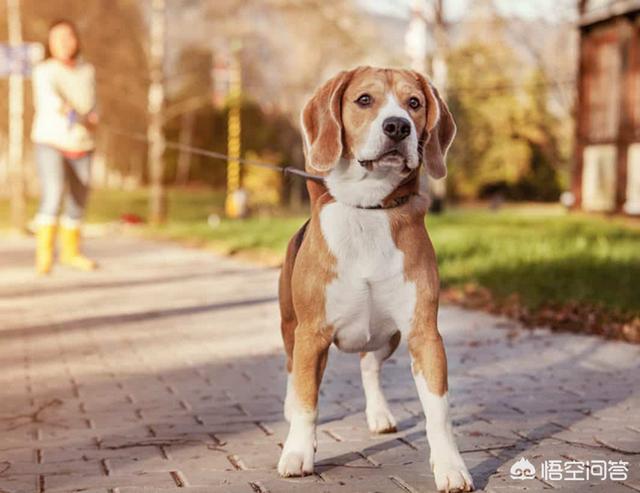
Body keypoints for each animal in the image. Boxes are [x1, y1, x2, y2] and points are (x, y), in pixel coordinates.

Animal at [278, 66, 472, 492]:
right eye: (364, 99)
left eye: (414, 103)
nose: (398, 126)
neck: (369, 208)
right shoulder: (312, 334)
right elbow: (307, 402)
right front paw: (298, 452)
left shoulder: (423, 334)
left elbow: (439, 411)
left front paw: (450, 466)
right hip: (291, 327)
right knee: (294, 372)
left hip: (389, 337)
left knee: (369, 366)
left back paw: (379, 414)